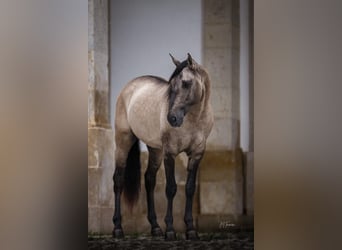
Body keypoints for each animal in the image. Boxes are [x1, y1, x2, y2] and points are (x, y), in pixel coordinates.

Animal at [112, 52, 214, 240]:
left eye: (186, 83)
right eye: (170, 85)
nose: (172, 118)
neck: (194, 119)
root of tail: (130, 86)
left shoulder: (197, 154)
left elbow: (189, 188)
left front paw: (190, 229)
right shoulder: (170, 153)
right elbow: (171, 188)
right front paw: (171, 230)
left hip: (155, 150)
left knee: (149, 180)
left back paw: (155, 227)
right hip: (124, 141)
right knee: (118, 180)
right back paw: (117, 228)